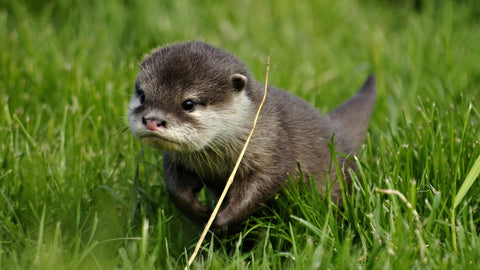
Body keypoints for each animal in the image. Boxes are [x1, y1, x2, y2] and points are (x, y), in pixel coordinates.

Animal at [129, 40, 376, 236]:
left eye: (188, 103)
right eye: (142, 94)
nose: (152, 121)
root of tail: (336, 130)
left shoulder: (270, 152)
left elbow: (260, 187)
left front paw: (220, 221)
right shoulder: (177, 161)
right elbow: (176, 191)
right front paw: (200, 213)